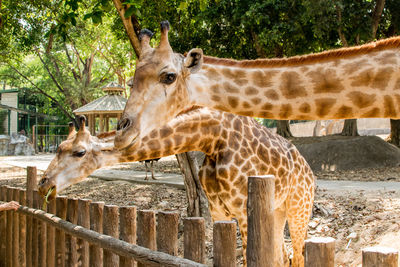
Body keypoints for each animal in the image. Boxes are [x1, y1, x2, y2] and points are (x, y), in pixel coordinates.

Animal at [39, 109, 316, 267]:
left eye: (79, 152)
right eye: (58, 147)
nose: (44, 183)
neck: (212, 139)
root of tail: (309, 170)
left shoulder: (244, 210)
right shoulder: (218, 209)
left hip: (299, 207)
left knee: (299, 254)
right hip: (277, 210)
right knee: (284, 256)